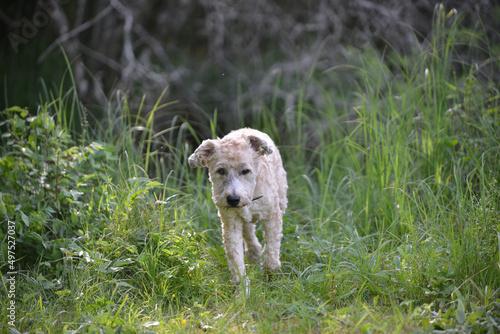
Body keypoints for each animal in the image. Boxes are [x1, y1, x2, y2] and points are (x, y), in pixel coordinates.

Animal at [188, 128, 290, 284]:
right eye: (221, 171)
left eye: (245, 171)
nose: (233, 199)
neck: (252, 194)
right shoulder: (231, 224)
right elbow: (236, 259)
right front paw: (241, 288)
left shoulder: (272, 216)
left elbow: (272, 248)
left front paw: (271, 274)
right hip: (245, 223)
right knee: (252, 241)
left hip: (282, 198)